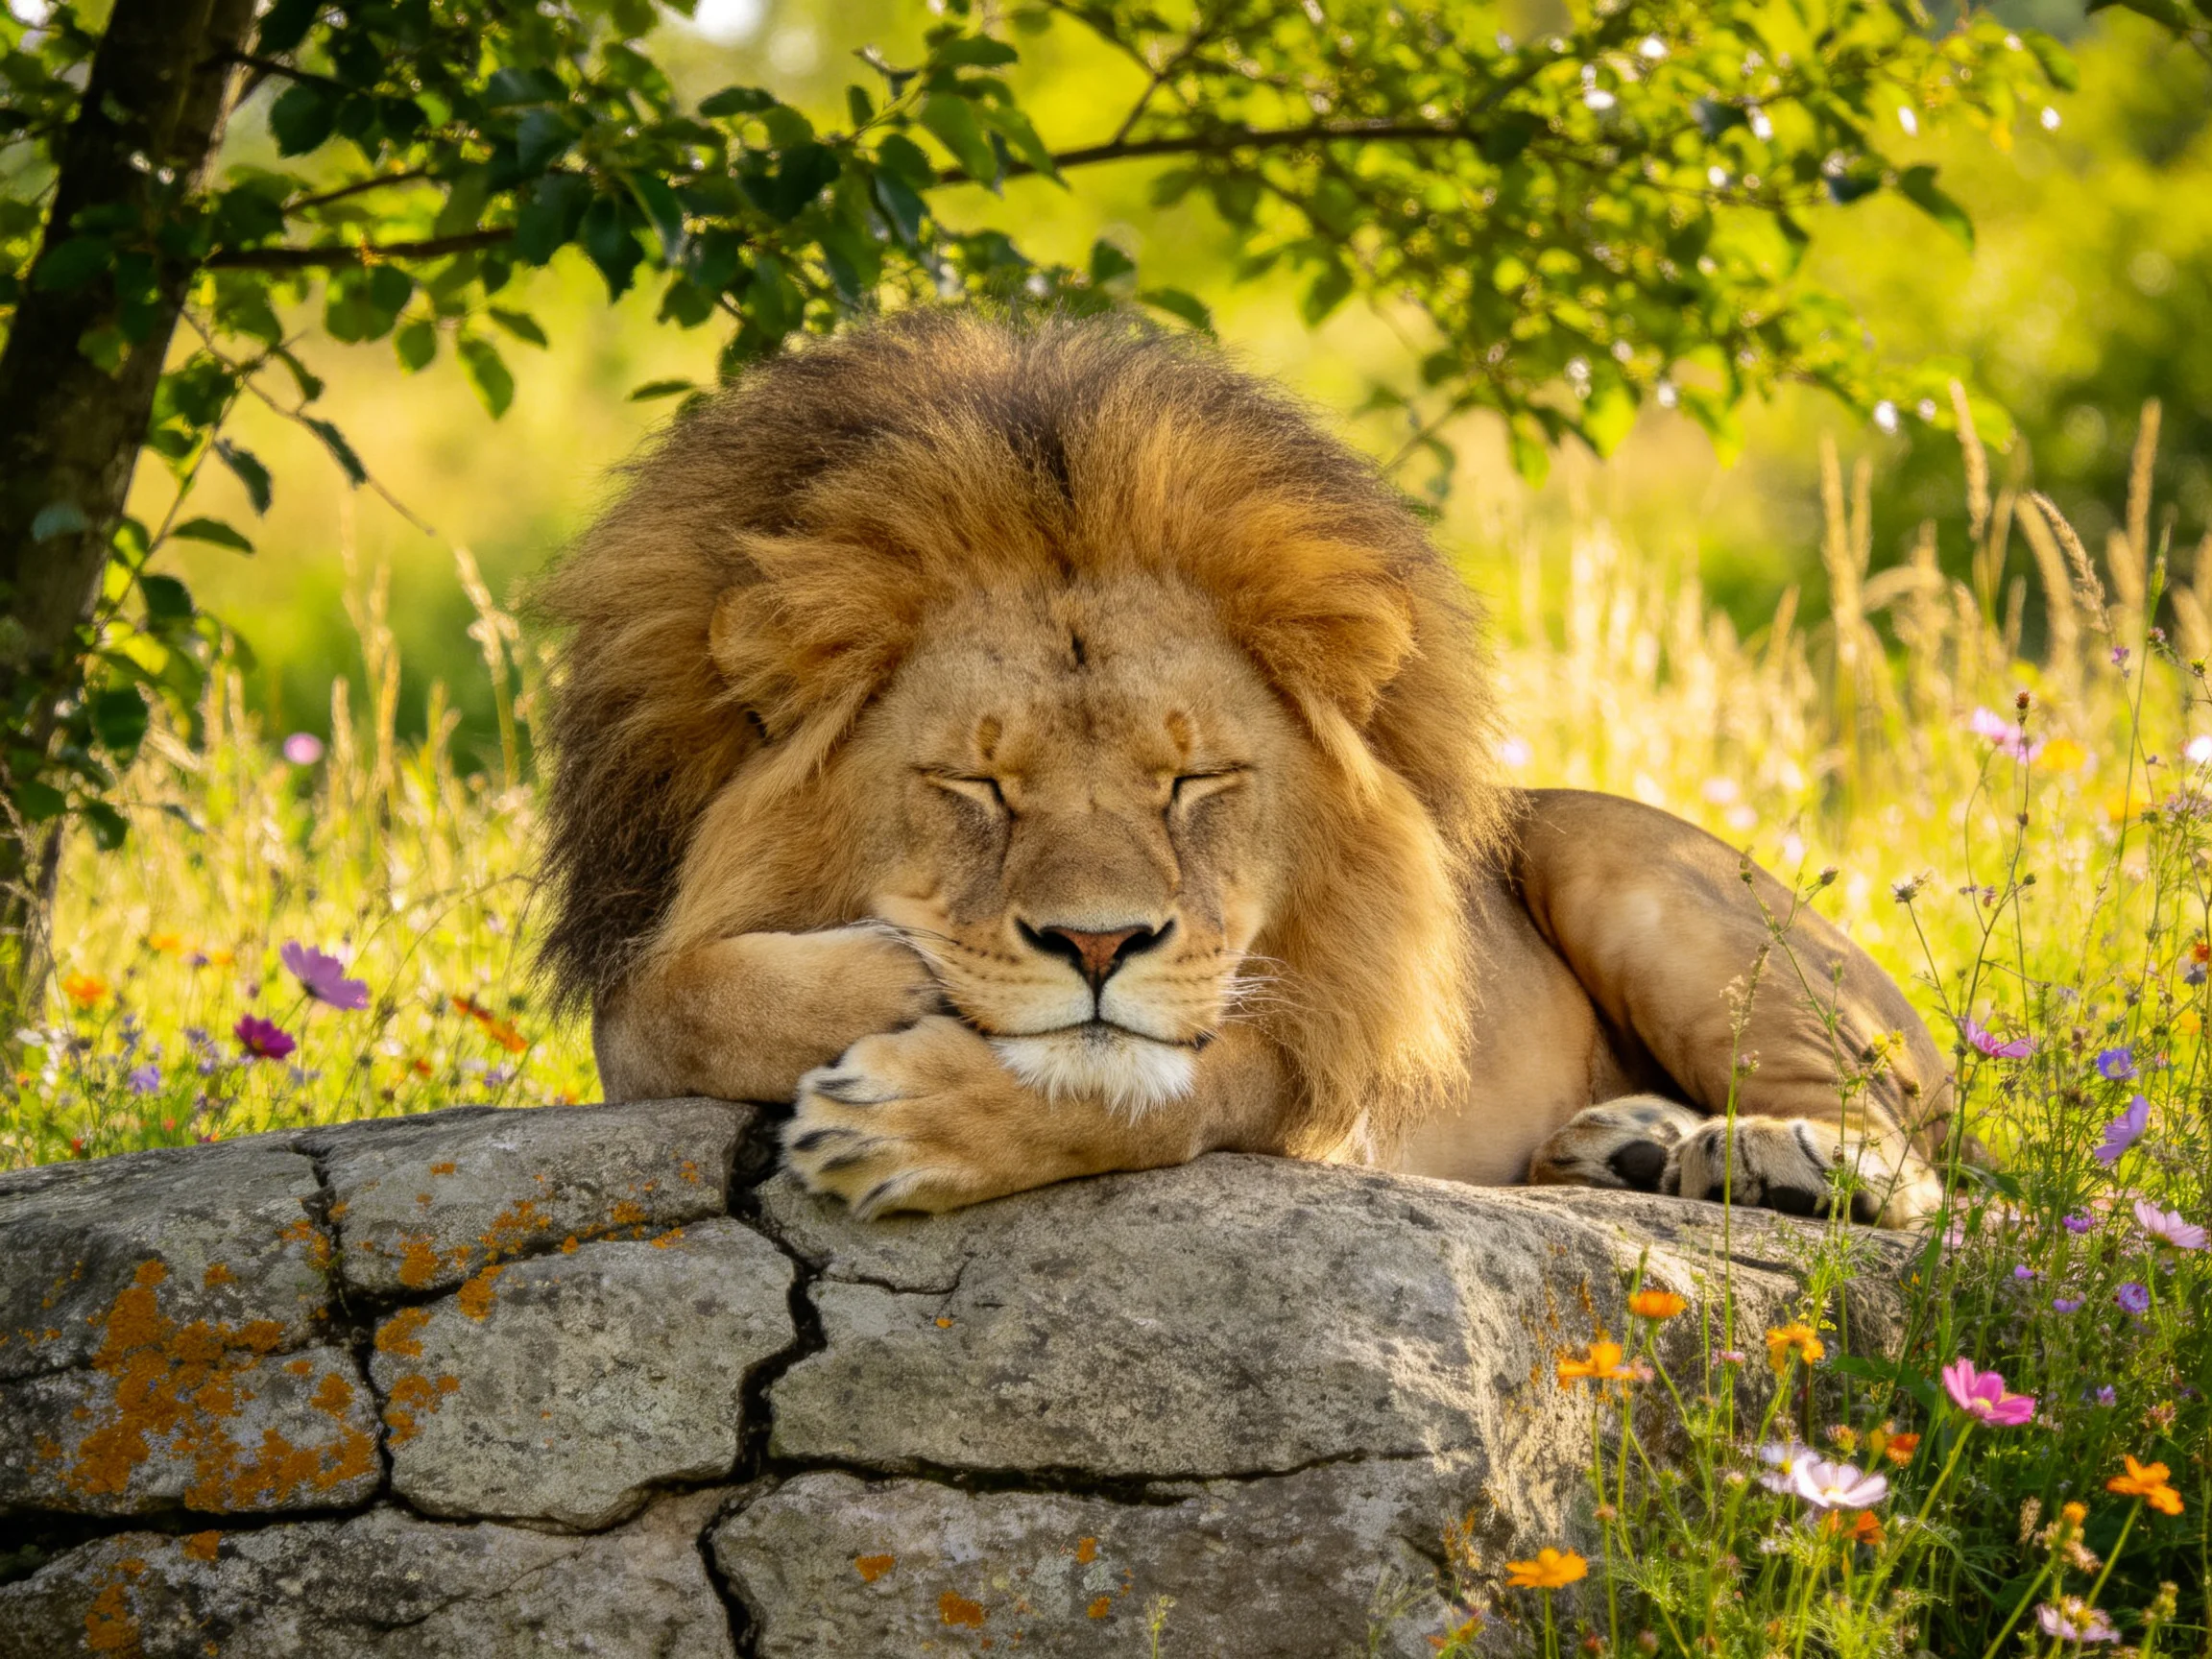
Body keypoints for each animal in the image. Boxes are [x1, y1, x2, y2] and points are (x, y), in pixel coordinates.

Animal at [538, 310, 1958, 1228]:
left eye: (1194, 781)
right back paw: (1629, 1147)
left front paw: (918, 1116)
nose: (1097, 946)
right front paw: (908, 977)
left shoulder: (1316, 1058)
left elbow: (1144, 1091)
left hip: (1627, 871)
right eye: (980, 786)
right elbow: (673, 999)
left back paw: (1773, 1156)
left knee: (1924, 1167)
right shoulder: (639, 1001)